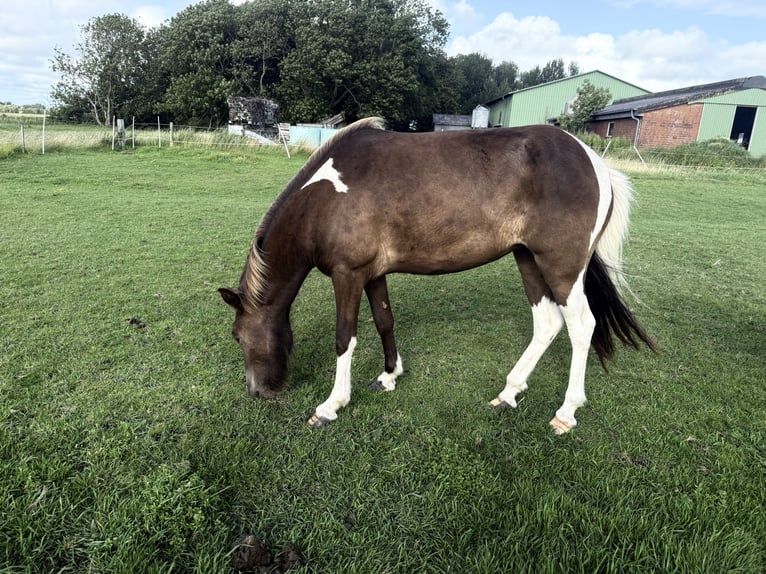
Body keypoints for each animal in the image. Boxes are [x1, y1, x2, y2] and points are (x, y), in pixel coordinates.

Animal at [219, 117, 656, 434]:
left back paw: (566, 412)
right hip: (528, 259)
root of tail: (594, 162)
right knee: (548, 324)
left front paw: (331, 405)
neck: (322, 201)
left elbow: (345, 339)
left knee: (581, 326)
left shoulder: (348, 275)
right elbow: (384, 320)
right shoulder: (372, 275)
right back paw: (509, 392)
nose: (257, 392)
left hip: (561, 267)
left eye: (237, 336)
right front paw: (389, 376)